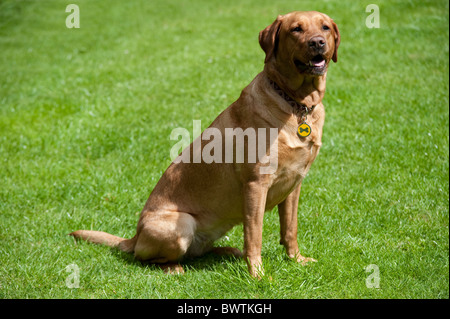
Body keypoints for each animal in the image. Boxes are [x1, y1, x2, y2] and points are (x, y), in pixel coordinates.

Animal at [70, 11, 340, 278]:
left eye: (325, 27)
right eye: (296, 29)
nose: (317, 42)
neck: (297, 104)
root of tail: (134, 237)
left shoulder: (294, 184)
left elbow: (290, 229)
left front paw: (296, 260)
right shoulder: (256, 184)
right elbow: (255, 236)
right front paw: (257, 274)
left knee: (199, 252)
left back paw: (228, 252)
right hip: (181, 223)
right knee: (146, 258)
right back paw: (174, 267)